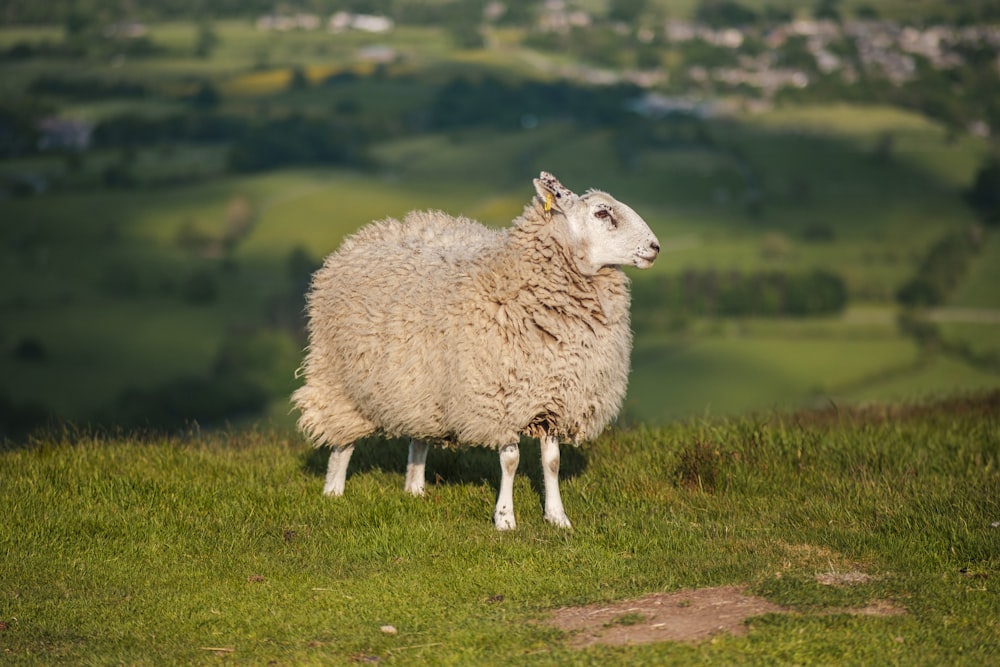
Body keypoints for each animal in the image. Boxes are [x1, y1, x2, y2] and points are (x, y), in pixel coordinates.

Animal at [292, 174, 660, 532]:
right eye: (602, 212)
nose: (655, 247)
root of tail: (371, 231)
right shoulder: (500, 399)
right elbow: (510, 461)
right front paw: (505, 519)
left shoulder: (554, 397)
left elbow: (552, 462)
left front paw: (557, 518)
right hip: (339, 377)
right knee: (342, 440)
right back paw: (333, 492)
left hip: (422, 386)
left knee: (418, 438)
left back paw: (415, 489)